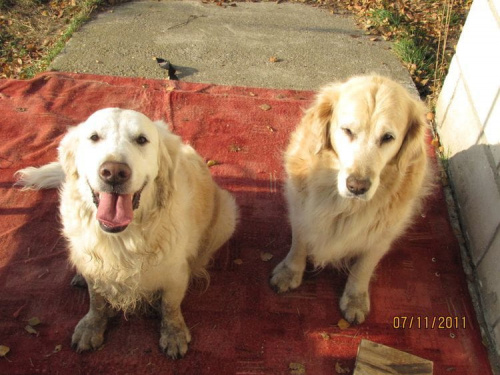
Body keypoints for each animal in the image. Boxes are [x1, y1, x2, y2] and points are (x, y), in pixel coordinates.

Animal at [16, 108, 239, 358]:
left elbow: (171, 306)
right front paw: (91, 326)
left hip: (227, 216)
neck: (123, 237)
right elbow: (96, 301)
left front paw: (174, 333)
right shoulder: (97, 268)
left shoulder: (175, 274)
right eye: (94, 137)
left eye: (141, 139)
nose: (114, 172)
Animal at [272, 75, 432, 324]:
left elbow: (363, 267)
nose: (357, 186)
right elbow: (299, 244)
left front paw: (355, 299)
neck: (344, 205)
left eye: (388, 137)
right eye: (347, 130)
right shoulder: (300, 211)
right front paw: (290, 272)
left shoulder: (382, 236)